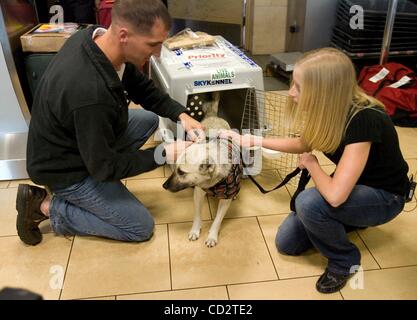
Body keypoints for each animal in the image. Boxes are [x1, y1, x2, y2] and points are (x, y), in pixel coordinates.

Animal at [161, 92, 242, 248]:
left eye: (182, 172)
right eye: (175, 168)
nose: (164, 186)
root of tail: (213, 116)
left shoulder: (225, 201)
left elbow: (217, 220)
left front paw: (212, 236)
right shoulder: (198, 193)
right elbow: (197, 215)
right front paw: (195, 230)